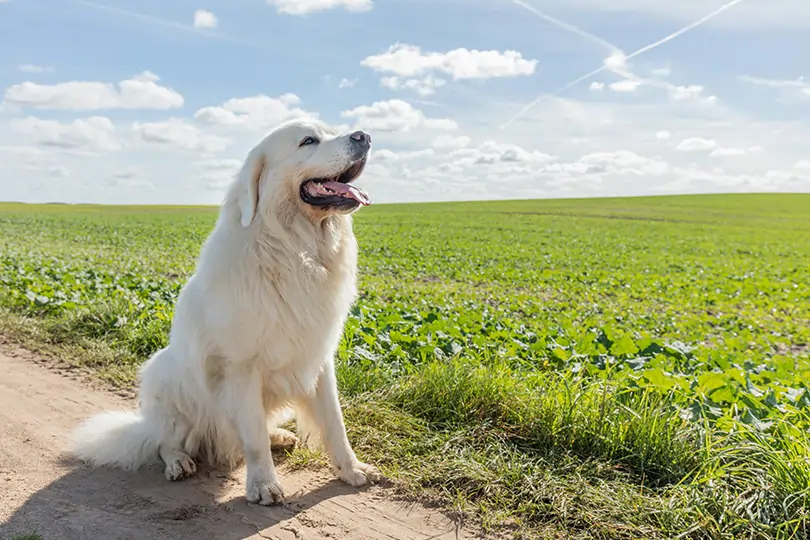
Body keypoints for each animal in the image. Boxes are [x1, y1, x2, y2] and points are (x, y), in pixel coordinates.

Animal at [69, 118, 378, 506]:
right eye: (308, 141)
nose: (364, 136)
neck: (294, 248)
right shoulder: (241, 367)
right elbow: (254, 437)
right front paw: (263, 485)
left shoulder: (317, 360)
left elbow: (335, 424)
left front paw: (352, 470)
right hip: (163, 374)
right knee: (162, 441)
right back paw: (178, 462)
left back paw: (280, 437)